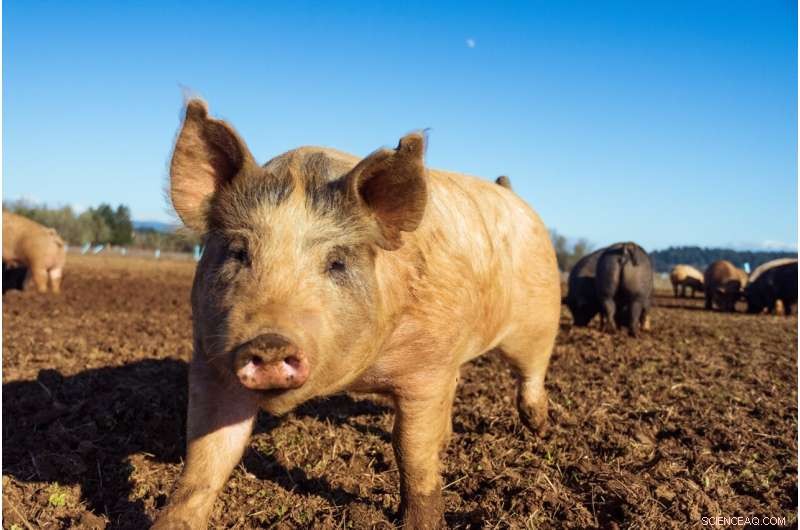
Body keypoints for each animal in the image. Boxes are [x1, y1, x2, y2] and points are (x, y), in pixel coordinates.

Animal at [153, 100, 561, 529]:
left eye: (337, 263)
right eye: (238, 253)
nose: (269, 340)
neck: (356, 378)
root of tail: (510, 192)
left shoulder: (427, 367)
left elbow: (411, 451)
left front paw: (418, 522)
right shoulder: (210, 359)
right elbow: (207, 457)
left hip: (539, 316)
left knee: (531, 372)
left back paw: (539, 428)